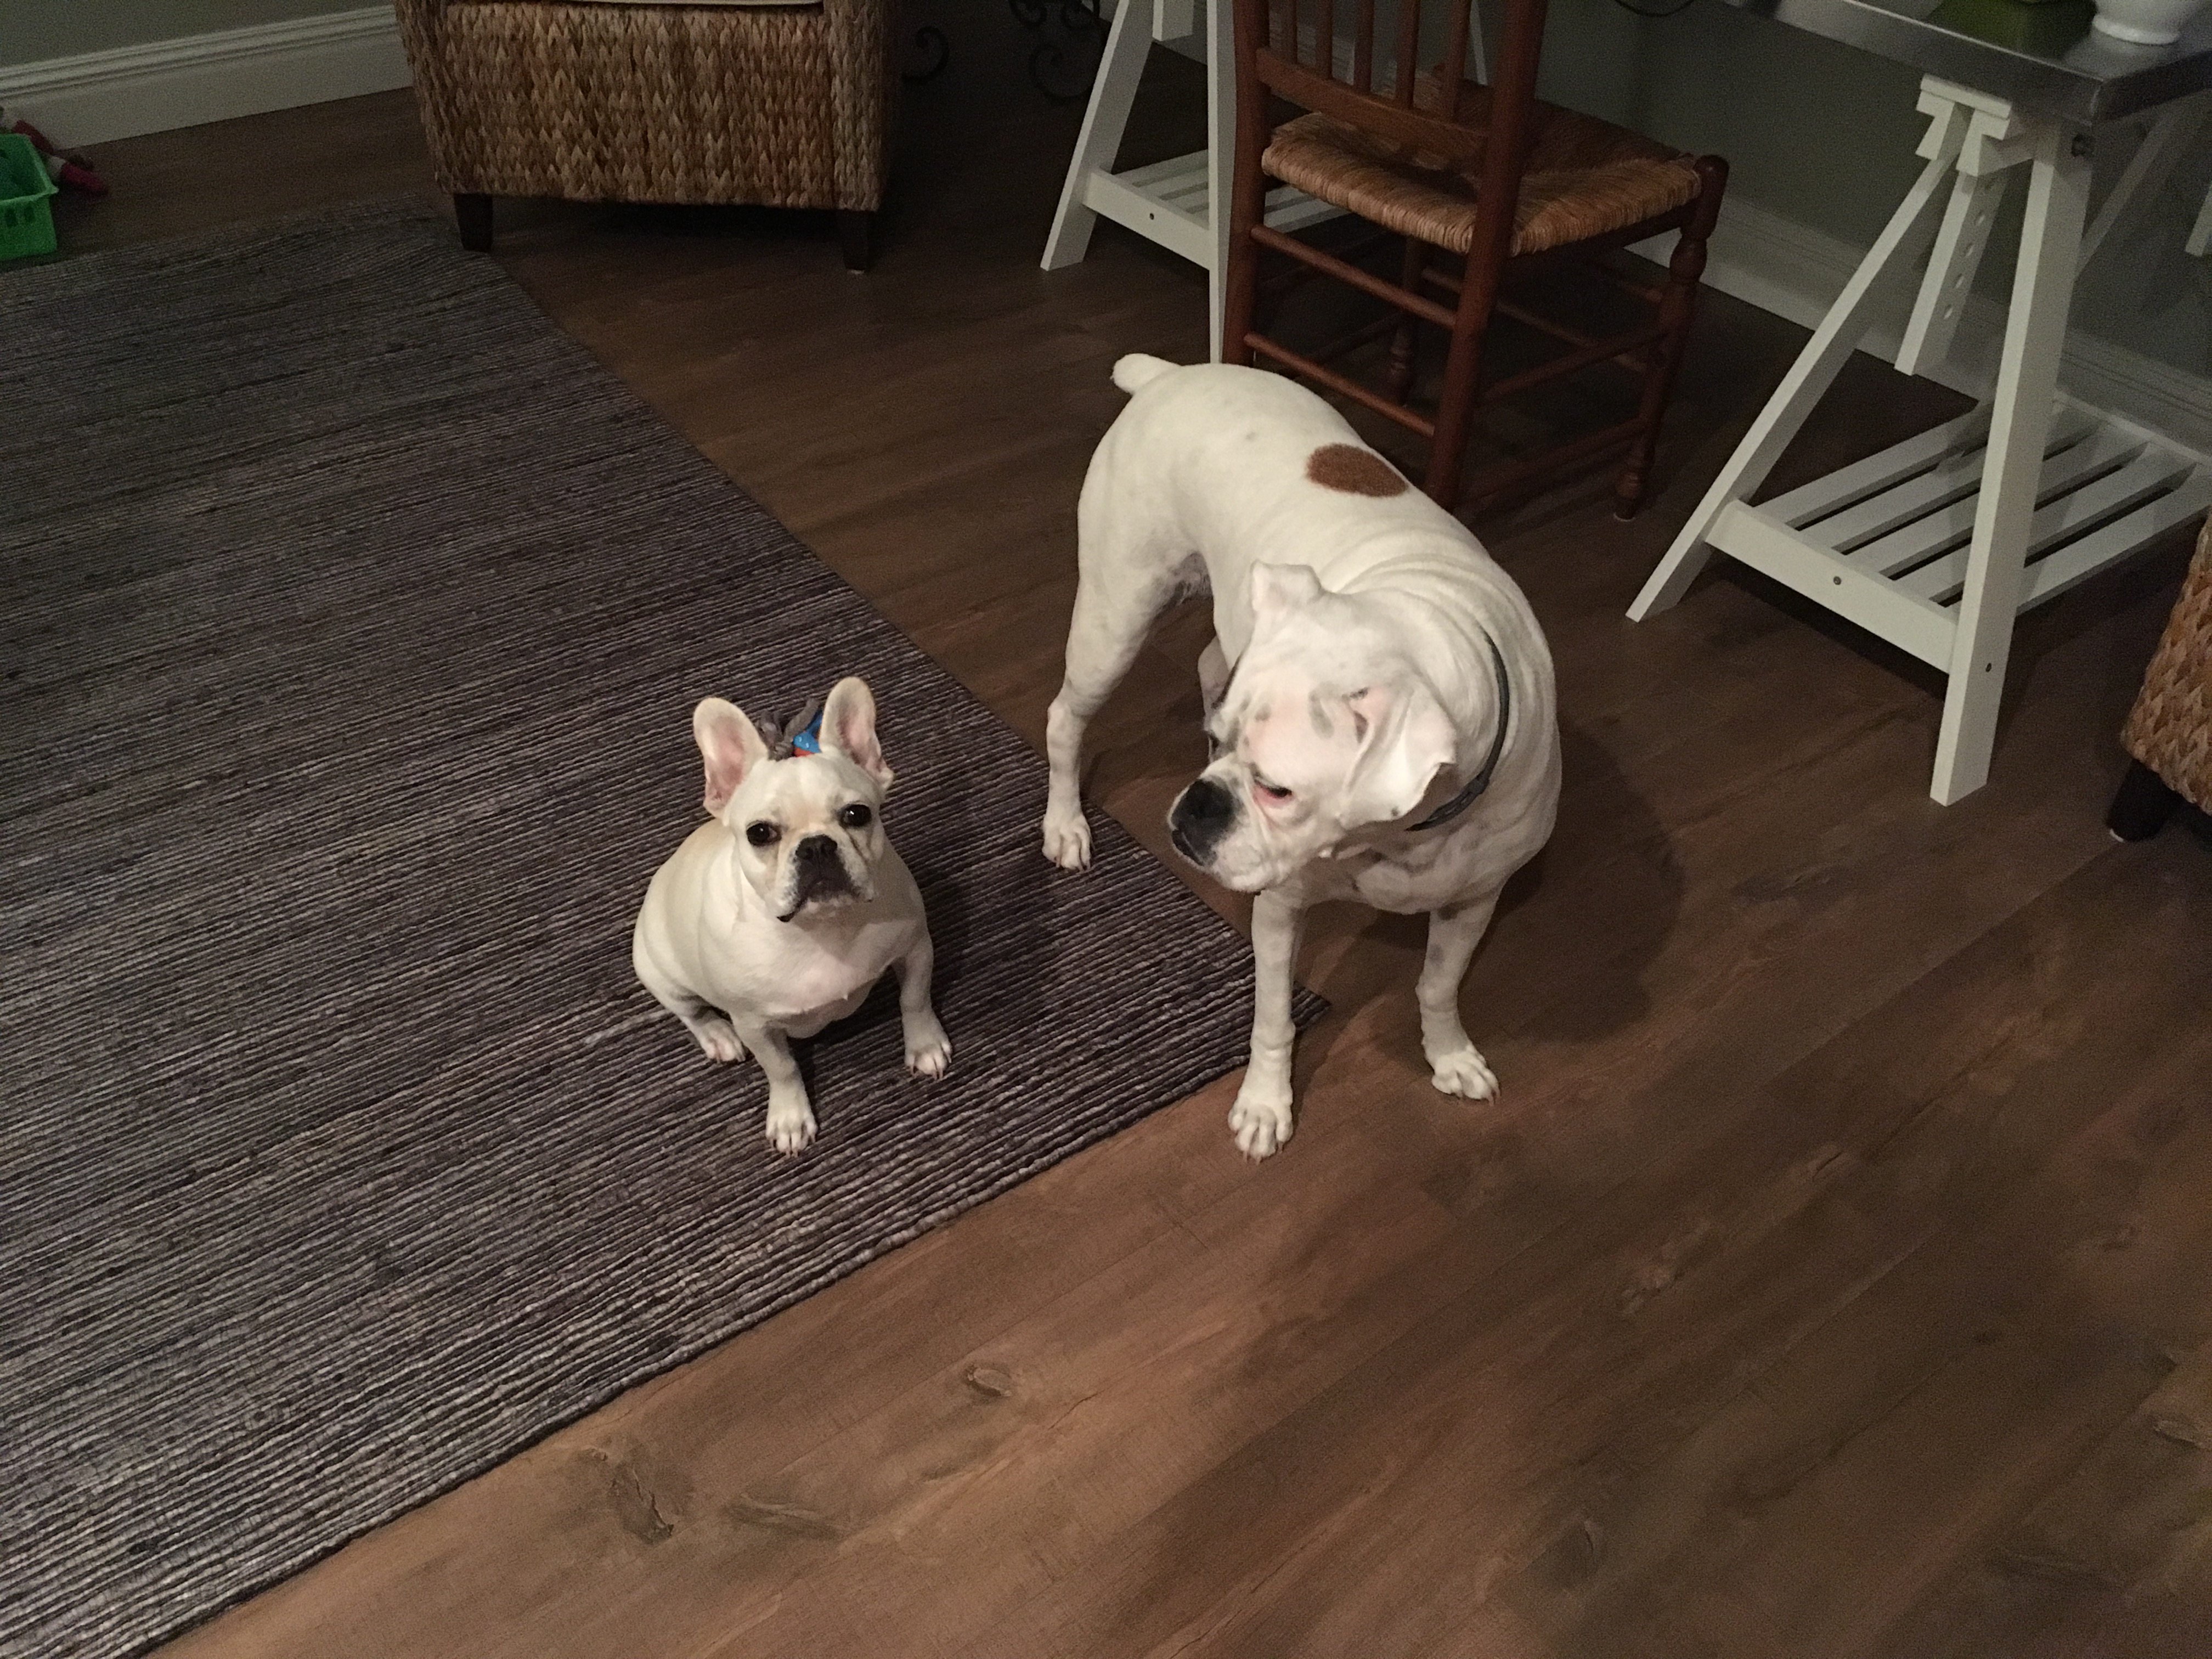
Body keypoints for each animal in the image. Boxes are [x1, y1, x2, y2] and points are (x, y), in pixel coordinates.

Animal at [633, 676, 951, 1153]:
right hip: (661, 973)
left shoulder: (915, 951)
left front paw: (924, 1046)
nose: (816, 845)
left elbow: (914, 1000)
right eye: (760, 833)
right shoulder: (755, 1025)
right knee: (691, 1013)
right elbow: (781, 1068)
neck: (822, 926)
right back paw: (717, 1036)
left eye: (857, 814)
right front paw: (790, 1117)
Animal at [1040, 355, 1559, 1158]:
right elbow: (1275, 1018)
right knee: (1066, 719)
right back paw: (1065, 824)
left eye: (1277, 789)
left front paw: (1449, 1056)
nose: (1198, 805)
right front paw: (1265, 1104)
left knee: (1209, 658)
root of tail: (1170, 375)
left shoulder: (1474, 901)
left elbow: (1438, 987)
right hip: (1115, 620)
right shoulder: (1281, 913)